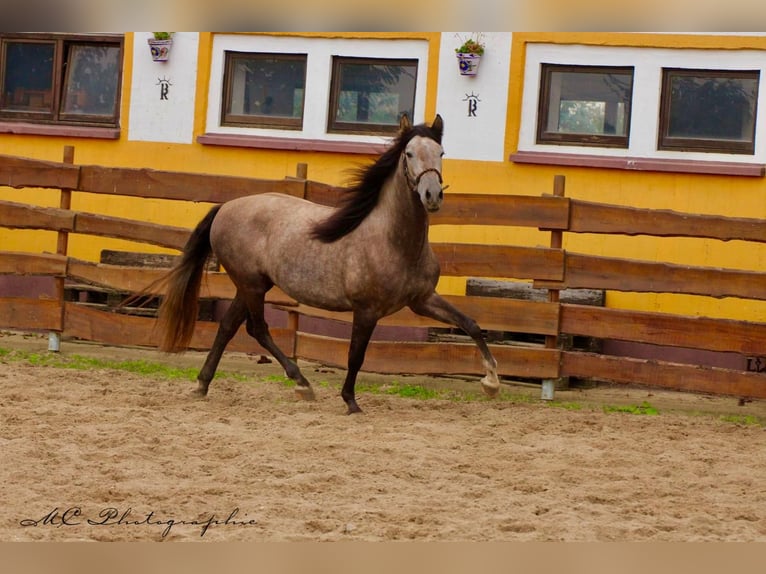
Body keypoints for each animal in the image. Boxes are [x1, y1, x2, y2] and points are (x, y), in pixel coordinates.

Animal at [157, 114, 500, 414]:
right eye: (410, 153)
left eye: (441, 152)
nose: (432, 195)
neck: (394, 242)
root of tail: (226, 206)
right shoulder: (366, 310)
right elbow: (355, 356)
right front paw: (350, 401)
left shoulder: (422, 300)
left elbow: (471, 324)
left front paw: (492, 381)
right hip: (251, 285)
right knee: (258, 328)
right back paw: (301, 383)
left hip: (250, 285)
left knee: (229, 326)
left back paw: (202, 384)